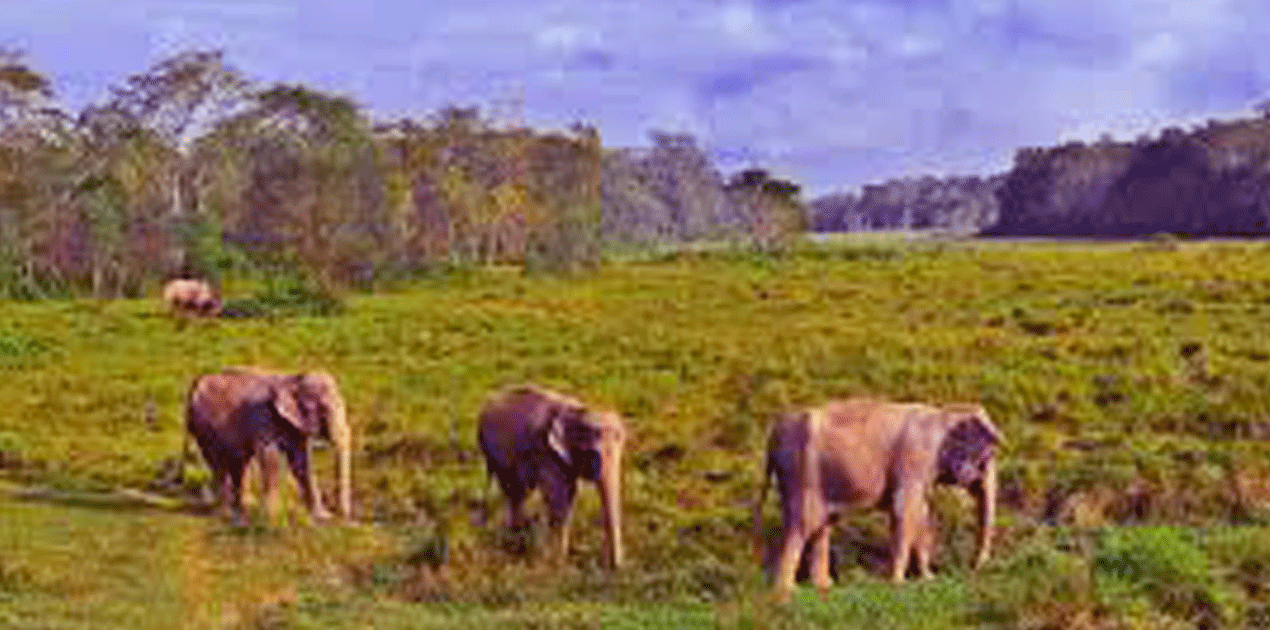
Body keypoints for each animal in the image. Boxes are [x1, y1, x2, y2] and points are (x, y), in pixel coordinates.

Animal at [179, 366, 352, 525]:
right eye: (322, 408)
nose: (341, 516)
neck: (293, 379)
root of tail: (197, 382)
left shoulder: (294, 425)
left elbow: (301, 462)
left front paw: (322, 517)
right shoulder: (263, 417)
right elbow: (270, 458)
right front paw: (272, 520)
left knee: (239, 463)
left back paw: (243, 509)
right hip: (203, 428)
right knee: (219, 464)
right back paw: (226, 514)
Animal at [477, 384, 626, 569]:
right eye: (592, 454)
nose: (614, 567)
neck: (580, 412)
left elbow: (570, 495)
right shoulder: (545, 451)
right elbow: (558, 498)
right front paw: (558, 561)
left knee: (518, 493)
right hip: (493, 455)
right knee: (510, 489)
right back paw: (515, 541)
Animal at [752, 397, 1003, 600]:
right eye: (987, 458)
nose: (973, 567)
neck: (944, 412)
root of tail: (773, 434)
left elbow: (920, 514)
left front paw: (928, 579)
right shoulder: (915, 459)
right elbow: (905, 510)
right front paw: (898, 584)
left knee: (821, 525)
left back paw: (824, 587)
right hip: (802, 473)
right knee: (804, 524)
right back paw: (786, 592)